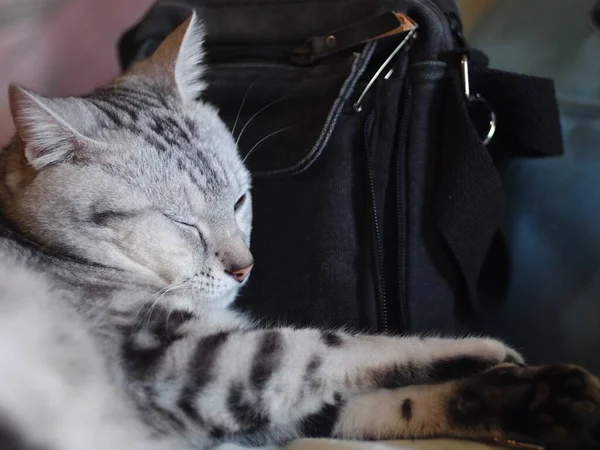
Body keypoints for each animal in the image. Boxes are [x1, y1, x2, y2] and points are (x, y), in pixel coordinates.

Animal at [0, 12, 596, 450]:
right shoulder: (178, 365)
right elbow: (332, 347)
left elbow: (379, 402)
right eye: (182, 223)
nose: (245, 267)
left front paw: (538, 398)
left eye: (240, 200)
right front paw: (485, 348)